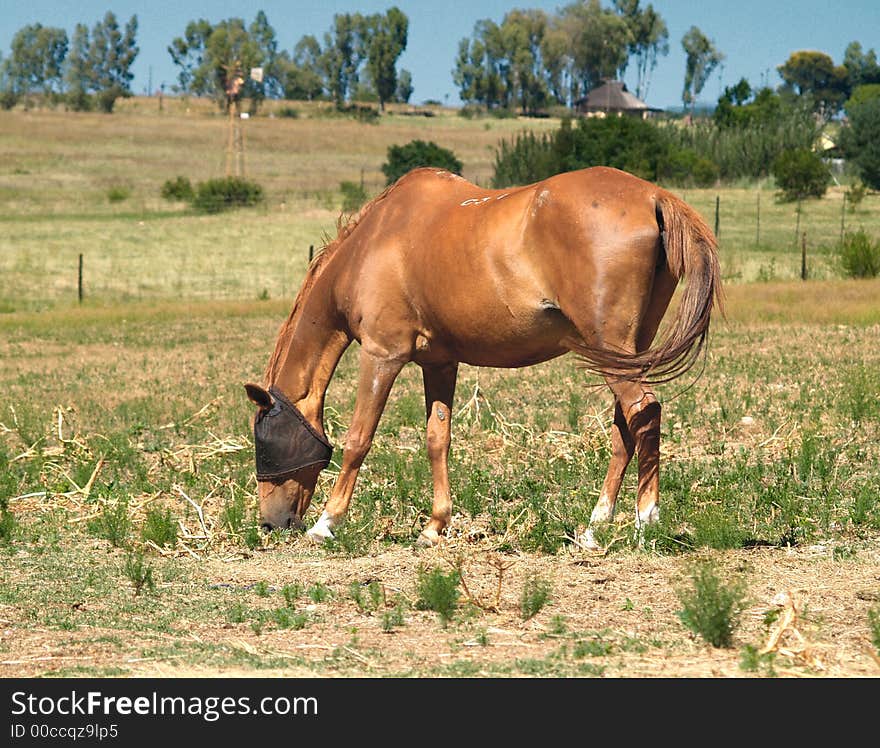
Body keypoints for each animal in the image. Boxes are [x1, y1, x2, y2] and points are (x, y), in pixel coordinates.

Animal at [244, 165, 720, 548]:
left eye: (262, 444)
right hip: (626, 353)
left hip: (610, 347)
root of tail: (654, 197)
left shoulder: (383, 356)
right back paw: (594, 526)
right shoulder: (439, 363)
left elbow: (359, 439)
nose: (270, 524)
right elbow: (438, 439)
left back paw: (645, 520)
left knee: (645, 411)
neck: (374, 243)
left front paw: (327, 523)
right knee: (626, 424)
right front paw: (434, 527)